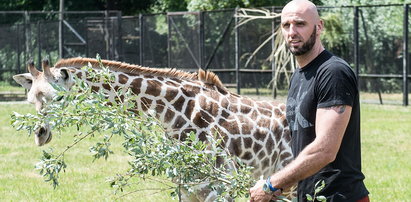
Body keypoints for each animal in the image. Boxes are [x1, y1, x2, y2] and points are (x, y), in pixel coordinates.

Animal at [12, 57, 294, 201]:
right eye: (30, 99)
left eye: (59, 97)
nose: (40, 134)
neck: (176, 114)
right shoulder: (187, 189)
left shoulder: (218, 189)